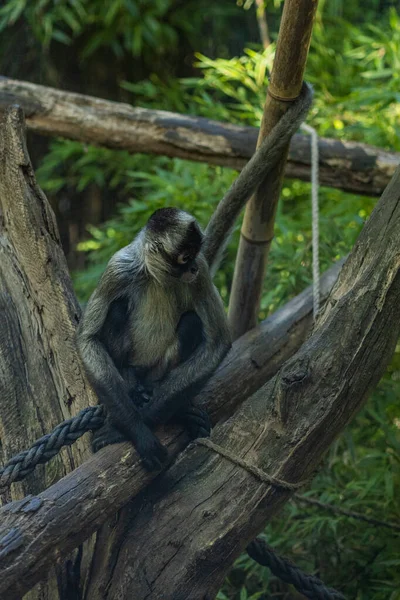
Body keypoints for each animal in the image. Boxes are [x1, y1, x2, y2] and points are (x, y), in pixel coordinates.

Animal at [76, 82, 314, 472]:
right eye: (182, 258)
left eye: (193, 258)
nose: (190, 269)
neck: (157, 276)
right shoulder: (119, 267)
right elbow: (88, 339)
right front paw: (134, 428)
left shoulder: (200, 275)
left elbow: (217, 343)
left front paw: (145, 422)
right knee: (117, 312)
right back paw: (133, 386)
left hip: (162, 368)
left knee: (190, 324)